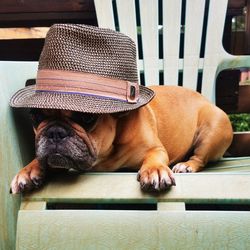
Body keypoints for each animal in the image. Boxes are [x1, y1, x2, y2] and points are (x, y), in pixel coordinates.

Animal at [9, 85, 232, 194]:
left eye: (87, 118)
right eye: (35, 115)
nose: (55, 132)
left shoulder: (155, 149)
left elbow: (154, 158)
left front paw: (155, 170)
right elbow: (40, 160)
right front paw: (28, 171)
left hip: (212, 129)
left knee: (199, 158)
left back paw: (186, 165)